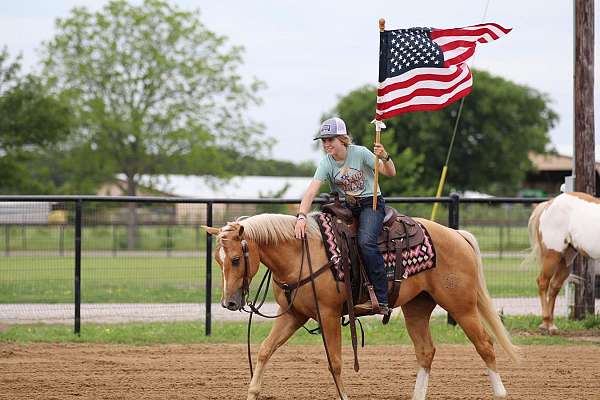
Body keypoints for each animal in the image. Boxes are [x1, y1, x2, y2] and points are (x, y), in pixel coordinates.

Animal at [203, 214, 520, 398]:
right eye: (218, 260)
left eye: (235, 259)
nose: (229, 302)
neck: (301, 255)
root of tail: (457, 235)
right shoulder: (293, 315)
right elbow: (265, 350)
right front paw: (253, 392)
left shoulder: (328, 314)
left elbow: (335, 362)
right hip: (417, 307)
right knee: (426, 351)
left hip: (462, 306)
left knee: (485, 345)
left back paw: (501, 393)